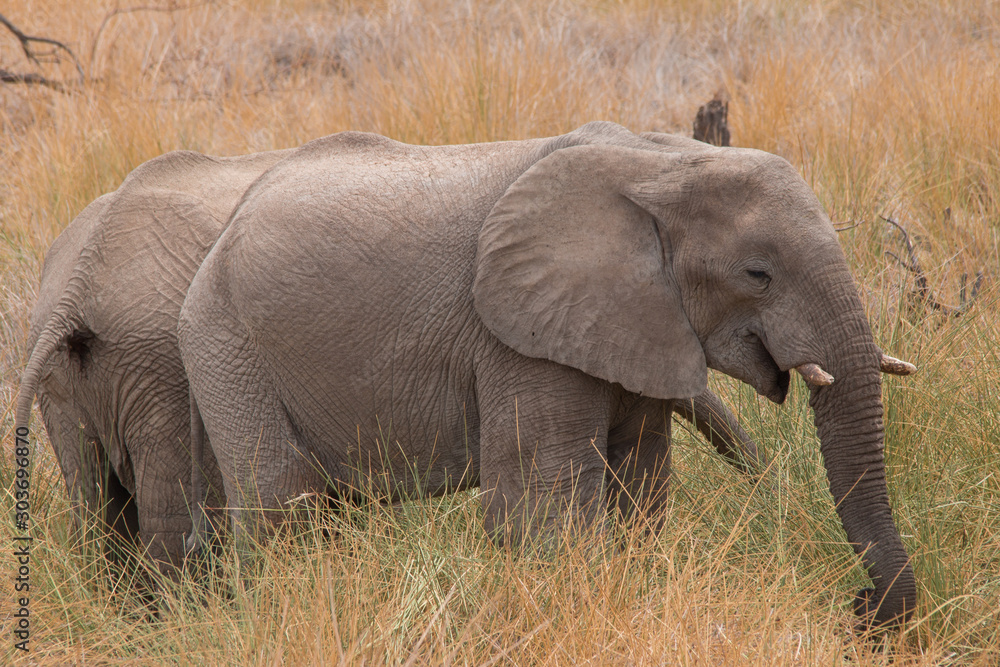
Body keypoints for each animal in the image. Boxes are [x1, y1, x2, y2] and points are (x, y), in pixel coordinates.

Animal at [178, 121, 918, 629]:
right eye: (757, 273)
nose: (860, 606)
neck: (659, 162)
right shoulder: (518, 336)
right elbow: (545, 497)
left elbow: (640, 480)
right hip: (225, 343)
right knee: (281, 507)